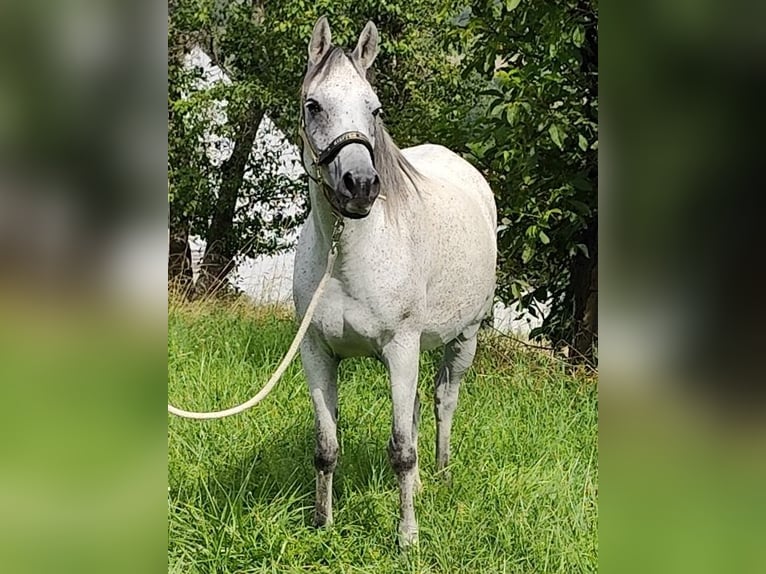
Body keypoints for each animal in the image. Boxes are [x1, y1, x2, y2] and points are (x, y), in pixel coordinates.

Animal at [292, 16, 498, 548]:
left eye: (376, 109)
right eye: (313, 105)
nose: (360, 185)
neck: (348, 259)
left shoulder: (400, 350)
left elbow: (402, 449)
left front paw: (407, 536)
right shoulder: (316, 354)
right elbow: (326, 446)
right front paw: (323, 523)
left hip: (463, 339)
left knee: (444, 401)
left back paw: (442, 475)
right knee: (420, 406)